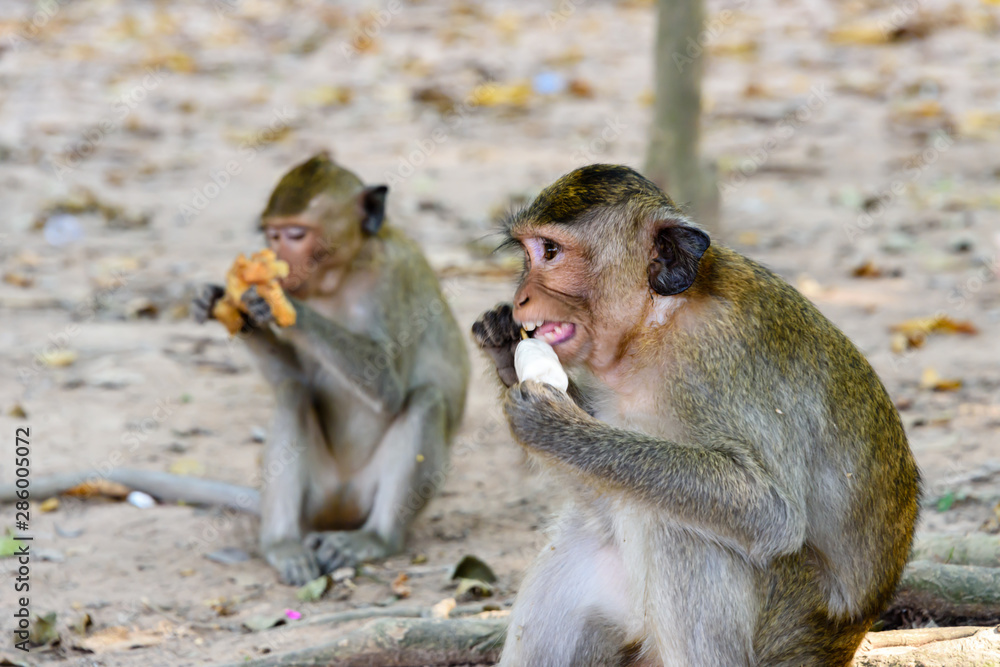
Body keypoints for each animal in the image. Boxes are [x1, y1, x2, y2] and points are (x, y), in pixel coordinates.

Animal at [472, 164, 919, 666]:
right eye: (527, 254)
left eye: (550, 252)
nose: (521, 298)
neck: (655, 324)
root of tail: (841, 643)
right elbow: (605, 495)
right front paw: (506, 350)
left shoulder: (724, 358)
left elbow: (772, 512)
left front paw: (555, 426)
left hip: (787, 624)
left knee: (683, 528)